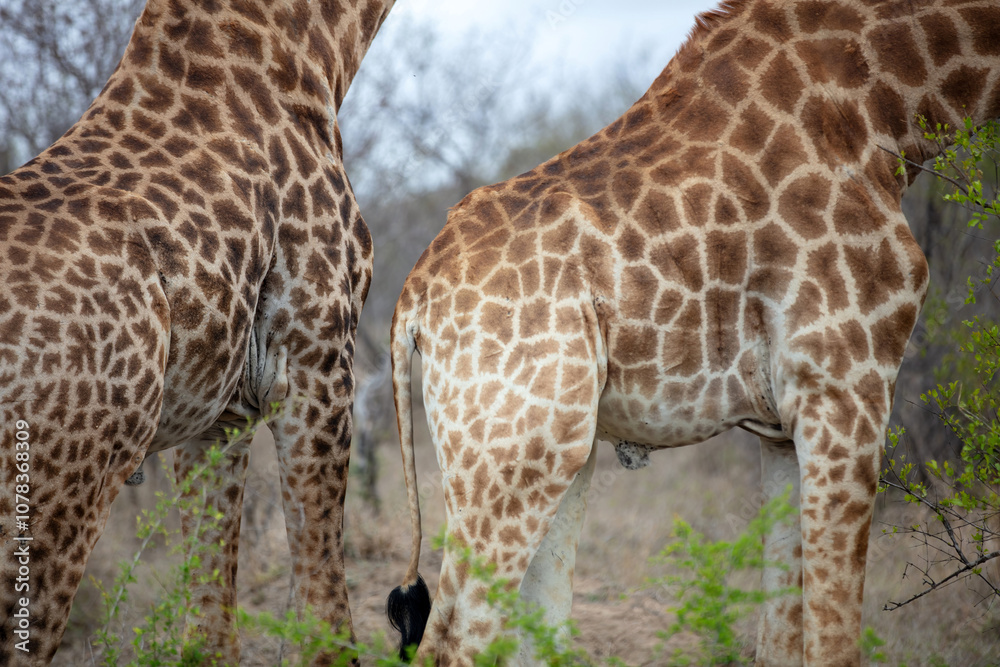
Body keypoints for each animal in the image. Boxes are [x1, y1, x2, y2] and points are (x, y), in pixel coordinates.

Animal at [386, 2, 1000, 664]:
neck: (887, 108)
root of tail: (414, 296)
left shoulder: (783, 430)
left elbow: (779, 640)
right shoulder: (845, 390)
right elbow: (834, 640)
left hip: (554, 451)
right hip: (514, 455)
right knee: (450, 641)